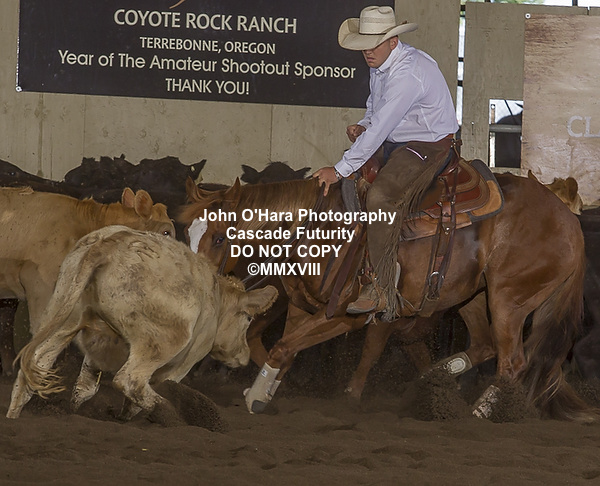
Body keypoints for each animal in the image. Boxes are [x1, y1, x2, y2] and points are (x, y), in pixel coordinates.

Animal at [6, 226, 278, 421]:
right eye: (248, 318)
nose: (243, 356)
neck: (216, 298)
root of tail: (112, 244)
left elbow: (84, 388)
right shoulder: (181, 364)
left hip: (63, 316)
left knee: (35, 366)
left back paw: (13, 417)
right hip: (164, 341)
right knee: (131, 381)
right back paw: (169, 413)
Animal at [178, 170, 594, 422]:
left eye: (219, 237)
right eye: (187, 233)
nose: (197, 282)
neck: (318, 227)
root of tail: (569, 221)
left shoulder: (343, 316)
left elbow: (285, 348)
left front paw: (257, 397)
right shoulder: (300, 306)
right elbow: (285, 349)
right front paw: (266, 388)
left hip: (508, 300)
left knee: (512, 363)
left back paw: (476, 414)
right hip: (474, 295)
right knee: (485, 345)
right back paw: (432, 381)